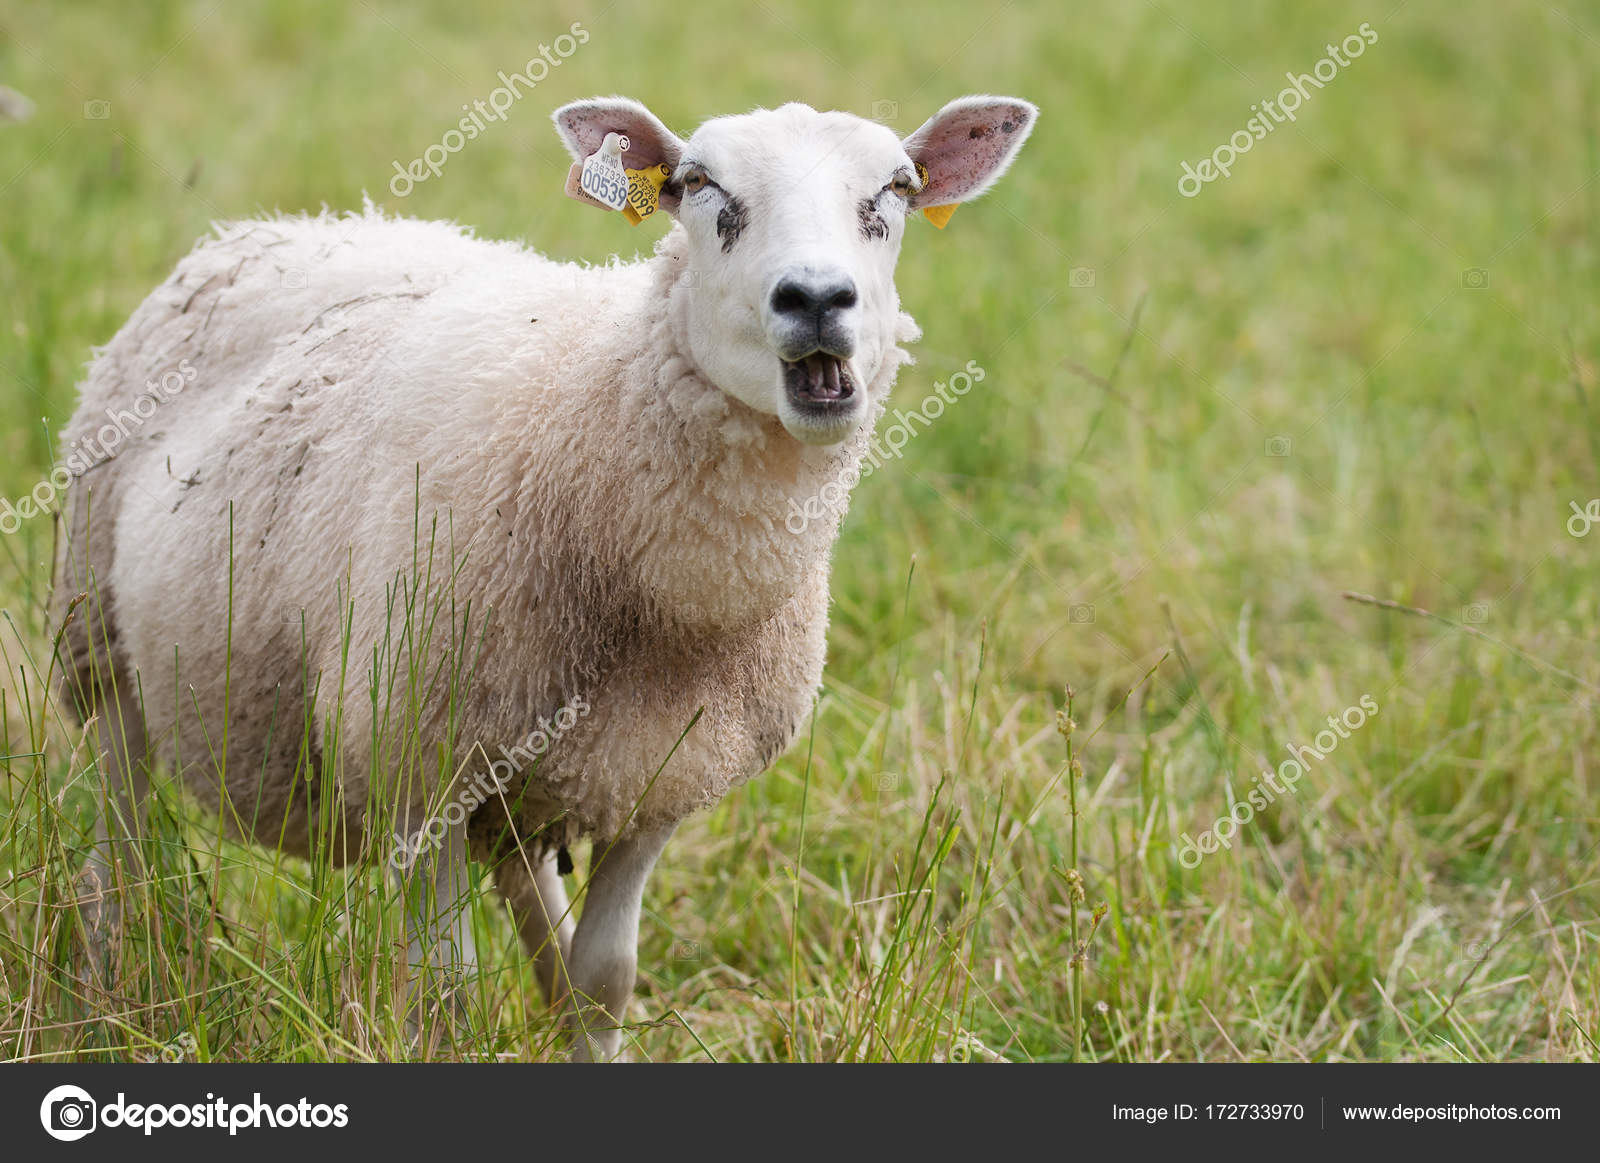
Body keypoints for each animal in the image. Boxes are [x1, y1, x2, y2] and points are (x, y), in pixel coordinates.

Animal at [54, 94, 1036, 1060]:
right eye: (698, 184)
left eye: (897, 189)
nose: (818, 298)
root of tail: (273, 226)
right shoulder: (415, 769)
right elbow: (444, 995)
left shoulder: (657, 780)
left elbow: (602, 980)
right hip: (100, 646)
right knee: (117, 851)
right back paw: (105, 996)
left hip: (534, 764)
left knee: (537, 907)